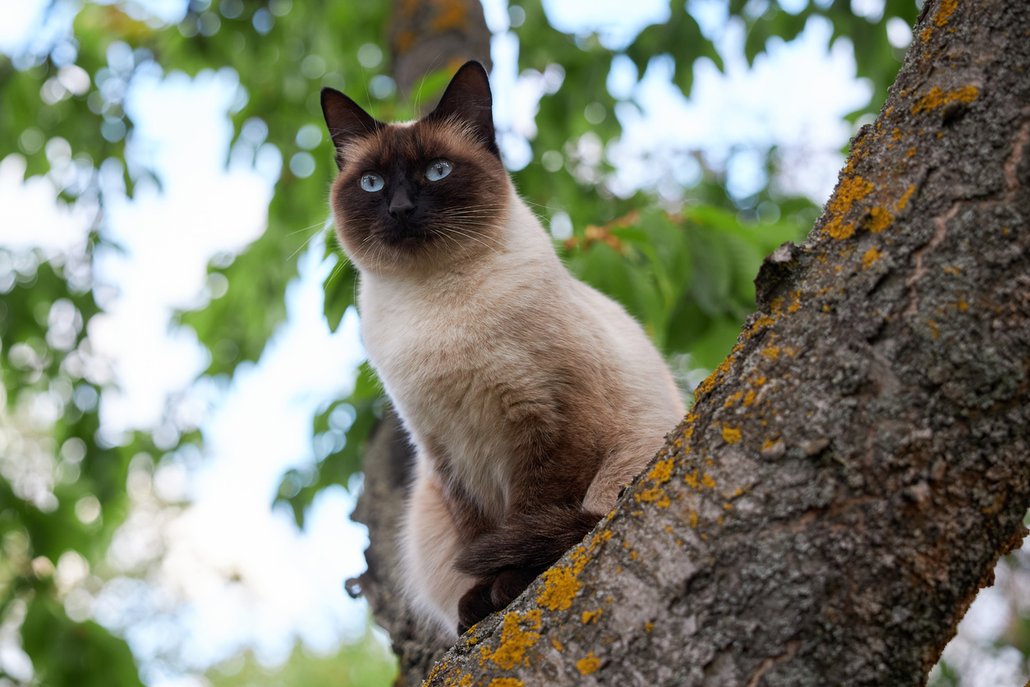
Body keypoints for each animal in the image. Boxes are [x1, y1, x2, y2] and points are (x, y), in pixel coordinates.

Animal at [321, 61, 683, 638]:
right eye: (372, 183)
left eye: (438, 171)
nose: (400, 208)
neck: (438, 300)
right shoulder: (443, 449)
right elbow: (478, 533)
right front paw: (479, 602)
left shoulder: (551, 420)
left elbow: (530, 517)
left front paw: (509, 585)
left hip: (634, 448)